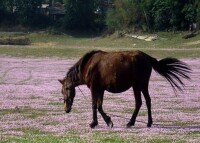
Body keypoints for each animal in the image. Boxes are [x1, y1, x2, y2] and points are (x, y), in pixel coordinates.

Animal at [57, 49, 191, 128]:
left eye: (67, 88)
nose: (66, 109)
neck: (88, 65)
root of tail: (146, 57)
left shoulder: (94, 88)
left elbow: (94, 105)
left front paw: (96, 123)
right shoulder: (101, 90)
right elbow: (99, 106)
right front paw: (107, 121)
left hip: (142, 84)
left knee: (146, 101)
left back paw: (146, 122)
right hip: (136, 86)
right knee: (140, 102)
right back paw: (133, 122)